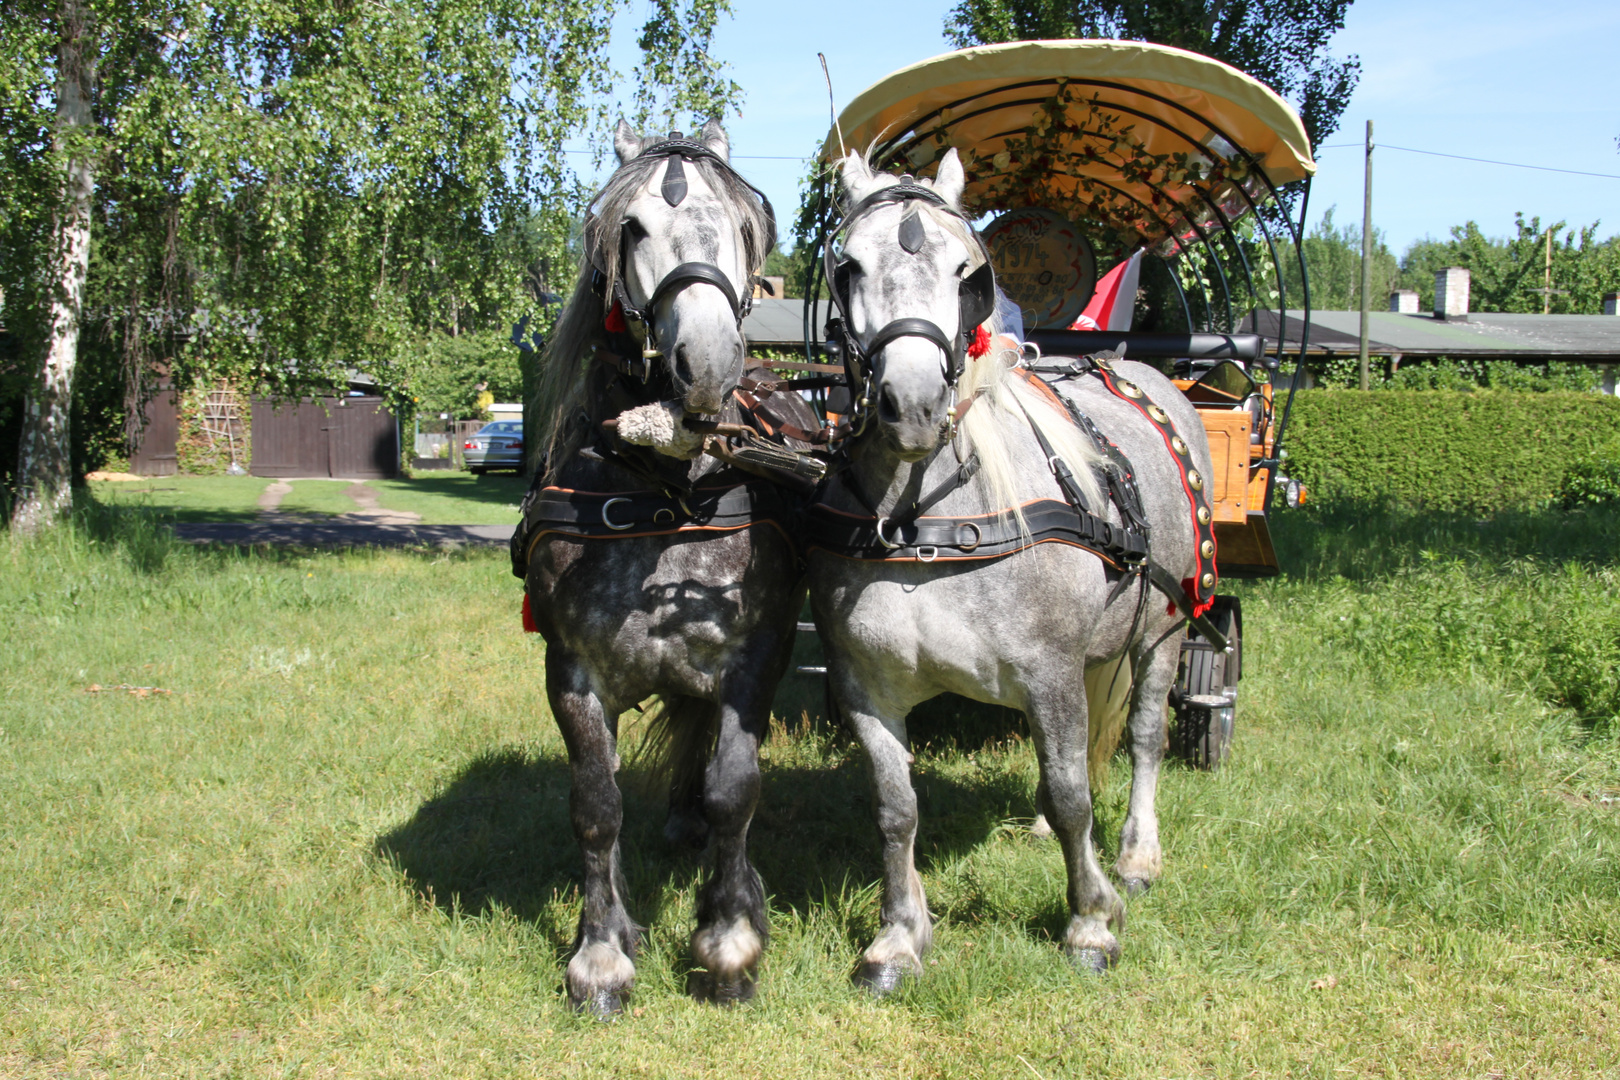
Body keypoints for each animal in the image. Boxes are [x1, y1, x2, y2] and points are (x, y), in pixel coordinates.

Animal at [810, 149, 1218, 990]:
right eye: (848, 266)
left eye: (968, 272)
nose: (911, 405)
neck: (927, 524)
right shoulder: (865, 685)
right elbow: (896, 808)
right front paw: (898, 937)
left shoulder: (1049, 670)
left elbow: (1071, 796)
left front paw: (1090, 921)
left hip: (1163, 630)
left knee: (1144, 737)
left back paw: (1135, 856)